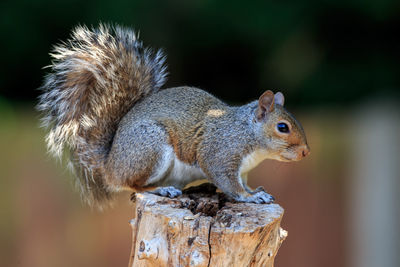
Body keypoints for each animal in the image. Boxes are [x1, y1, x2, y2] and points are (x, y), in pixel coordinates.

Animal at [36, 24, 310, 208]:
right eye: (283, 127)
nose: (306, 152)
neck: (248, 133)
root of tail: (110, 164)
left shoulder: (242, 169)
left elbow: (242, 182)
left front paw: (256, 190)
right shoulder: (220, 153)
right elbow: (230, 184)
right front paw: (251, 197)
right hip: (150, 148)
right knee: (133, 184)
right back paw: (162, 190)